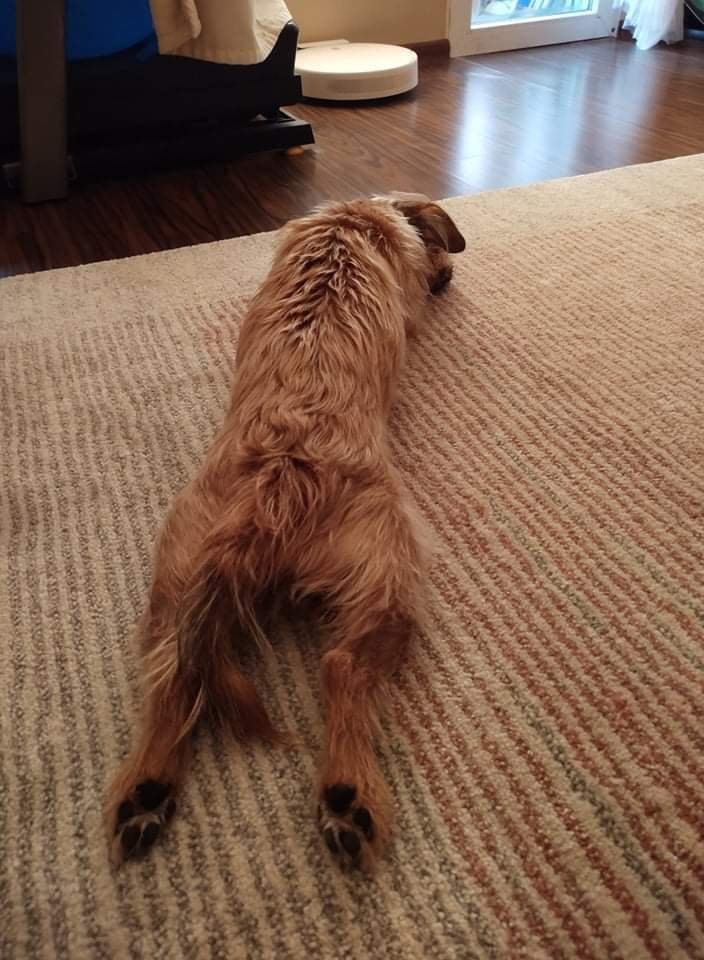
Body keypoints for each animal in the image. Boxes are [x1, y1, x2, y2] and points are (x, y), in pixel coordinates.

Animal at [106, 193, 465, 871]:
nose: (448, 275)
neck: (354, 221)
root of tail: (278, 486)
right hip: (392, 571)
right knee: (342, 668)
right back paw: (348, 795)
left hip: (176, 574)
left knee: (174, 674)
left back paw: (147, 789)